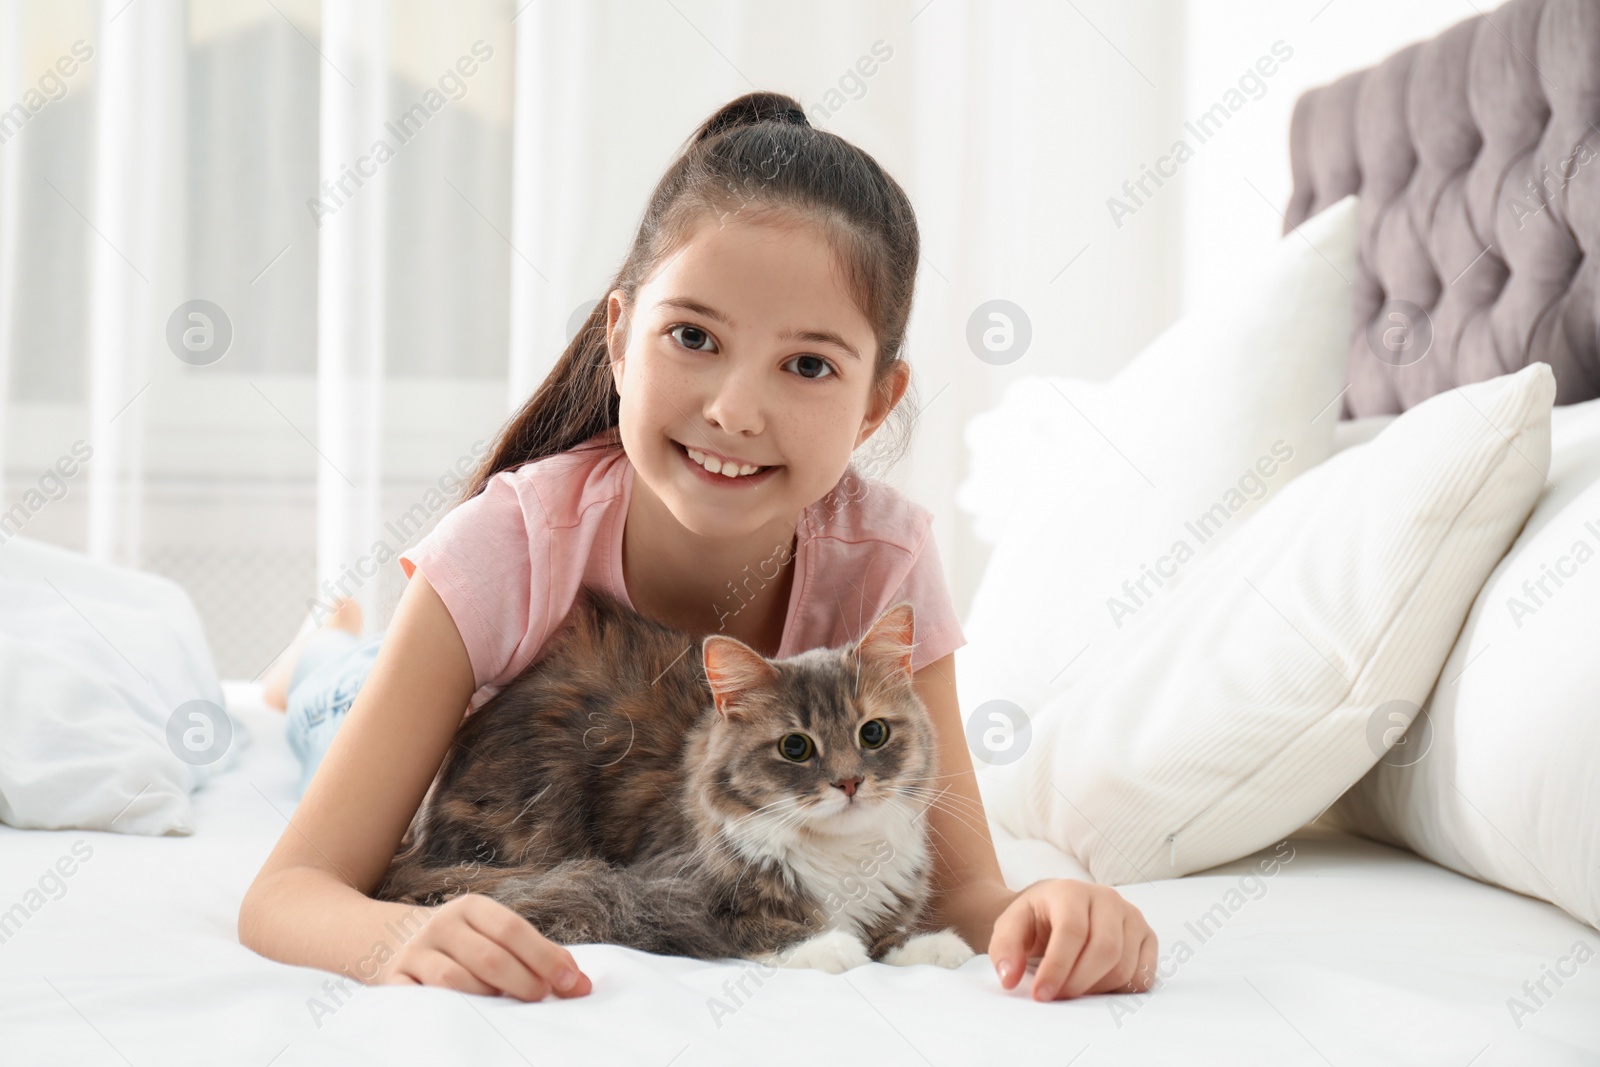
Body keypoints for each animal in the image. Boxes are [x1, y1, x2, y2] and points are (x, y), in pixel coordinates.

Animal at [374, 585, 972, 979]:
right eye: (795, 747)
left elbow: (889, 930)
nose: (849, 783)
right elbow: (750, 927)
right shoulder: (656, 890)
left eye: (873, 733)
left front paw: (931, 947)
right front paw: (831, 947)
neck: (838, 855)